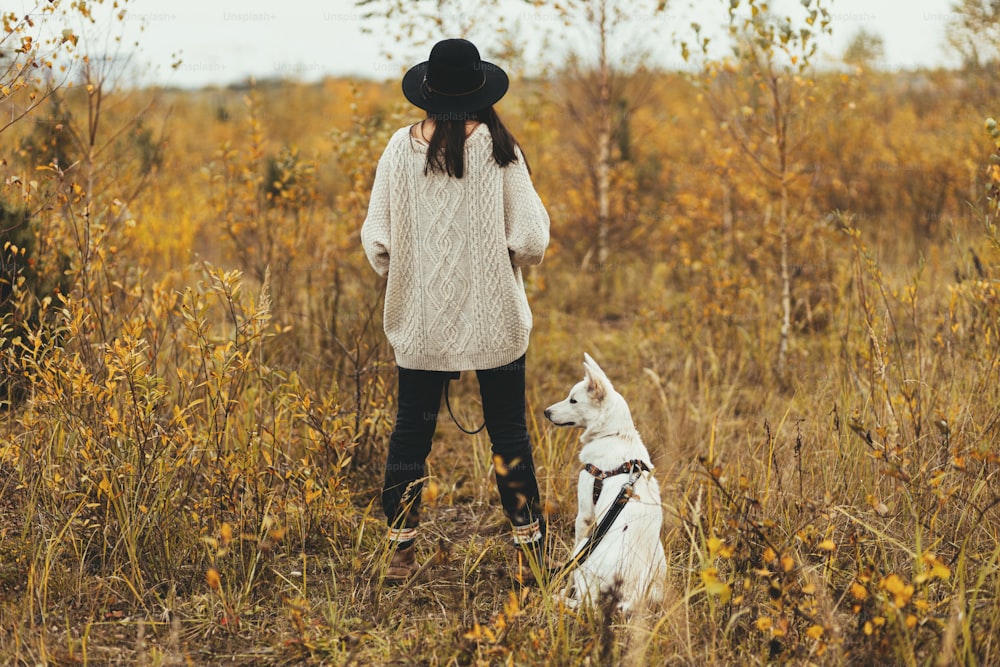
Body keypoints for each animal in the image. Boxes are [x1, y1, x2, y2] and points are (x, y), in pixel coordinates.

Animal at [544, 354, 668, 616]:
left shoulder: (584, 516)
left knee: (586, 604)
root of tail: (631, 596)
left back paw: (558, 599)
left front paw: (562, 589)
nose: (546, 412)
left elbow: (570, 570)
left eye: (573, 400)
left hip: (586, 549)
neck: (615, 434)